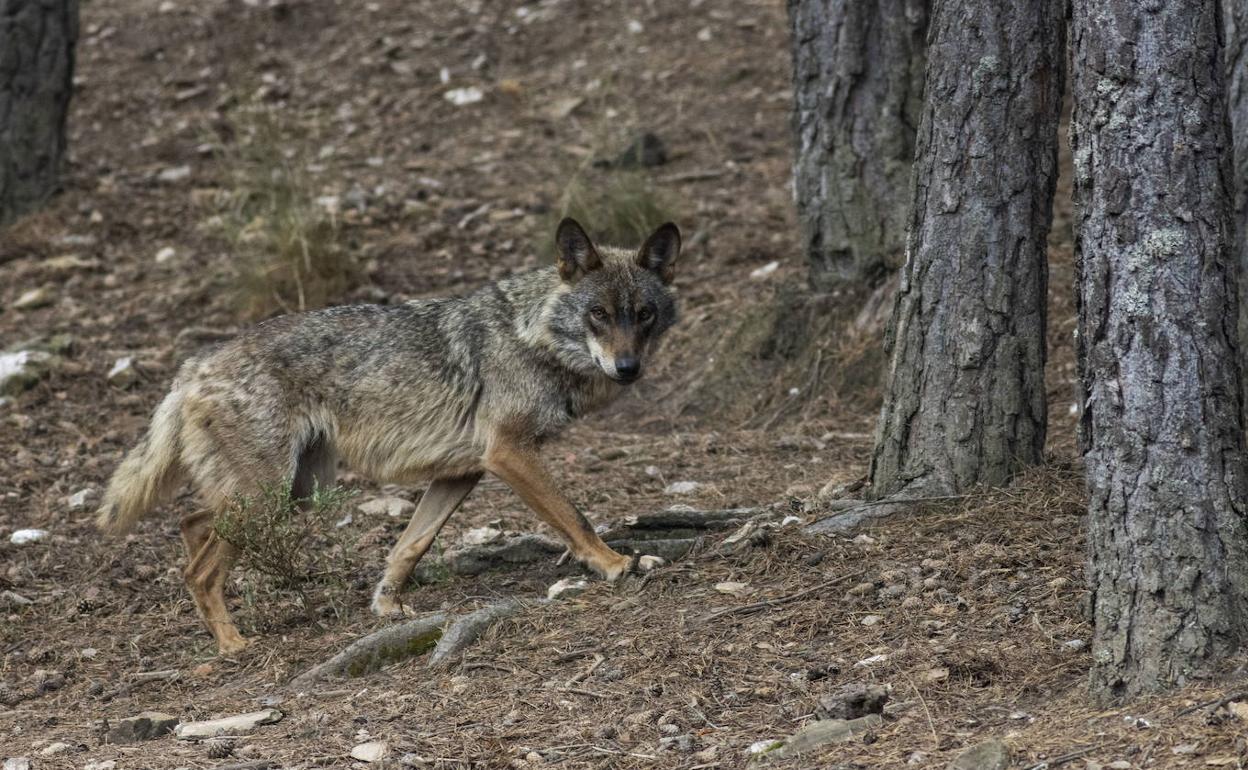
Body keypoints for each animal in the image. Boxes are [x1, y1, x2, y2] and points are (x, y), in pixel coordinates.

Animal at [96, 217, 683, 653]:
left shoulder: (463, 471)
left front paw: (386, 606)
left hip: (292, 494)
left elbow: (410, 545)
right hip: (270, 498)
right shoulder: (509, 455)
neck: (531, 335)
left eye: (644, 314)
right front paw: (616, 564)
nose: (627, 368)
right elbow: (575, 518)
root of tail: (193, 366)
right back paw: (233, 645)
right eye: (598, 313)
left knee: (192, 524)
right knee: (198, 568)